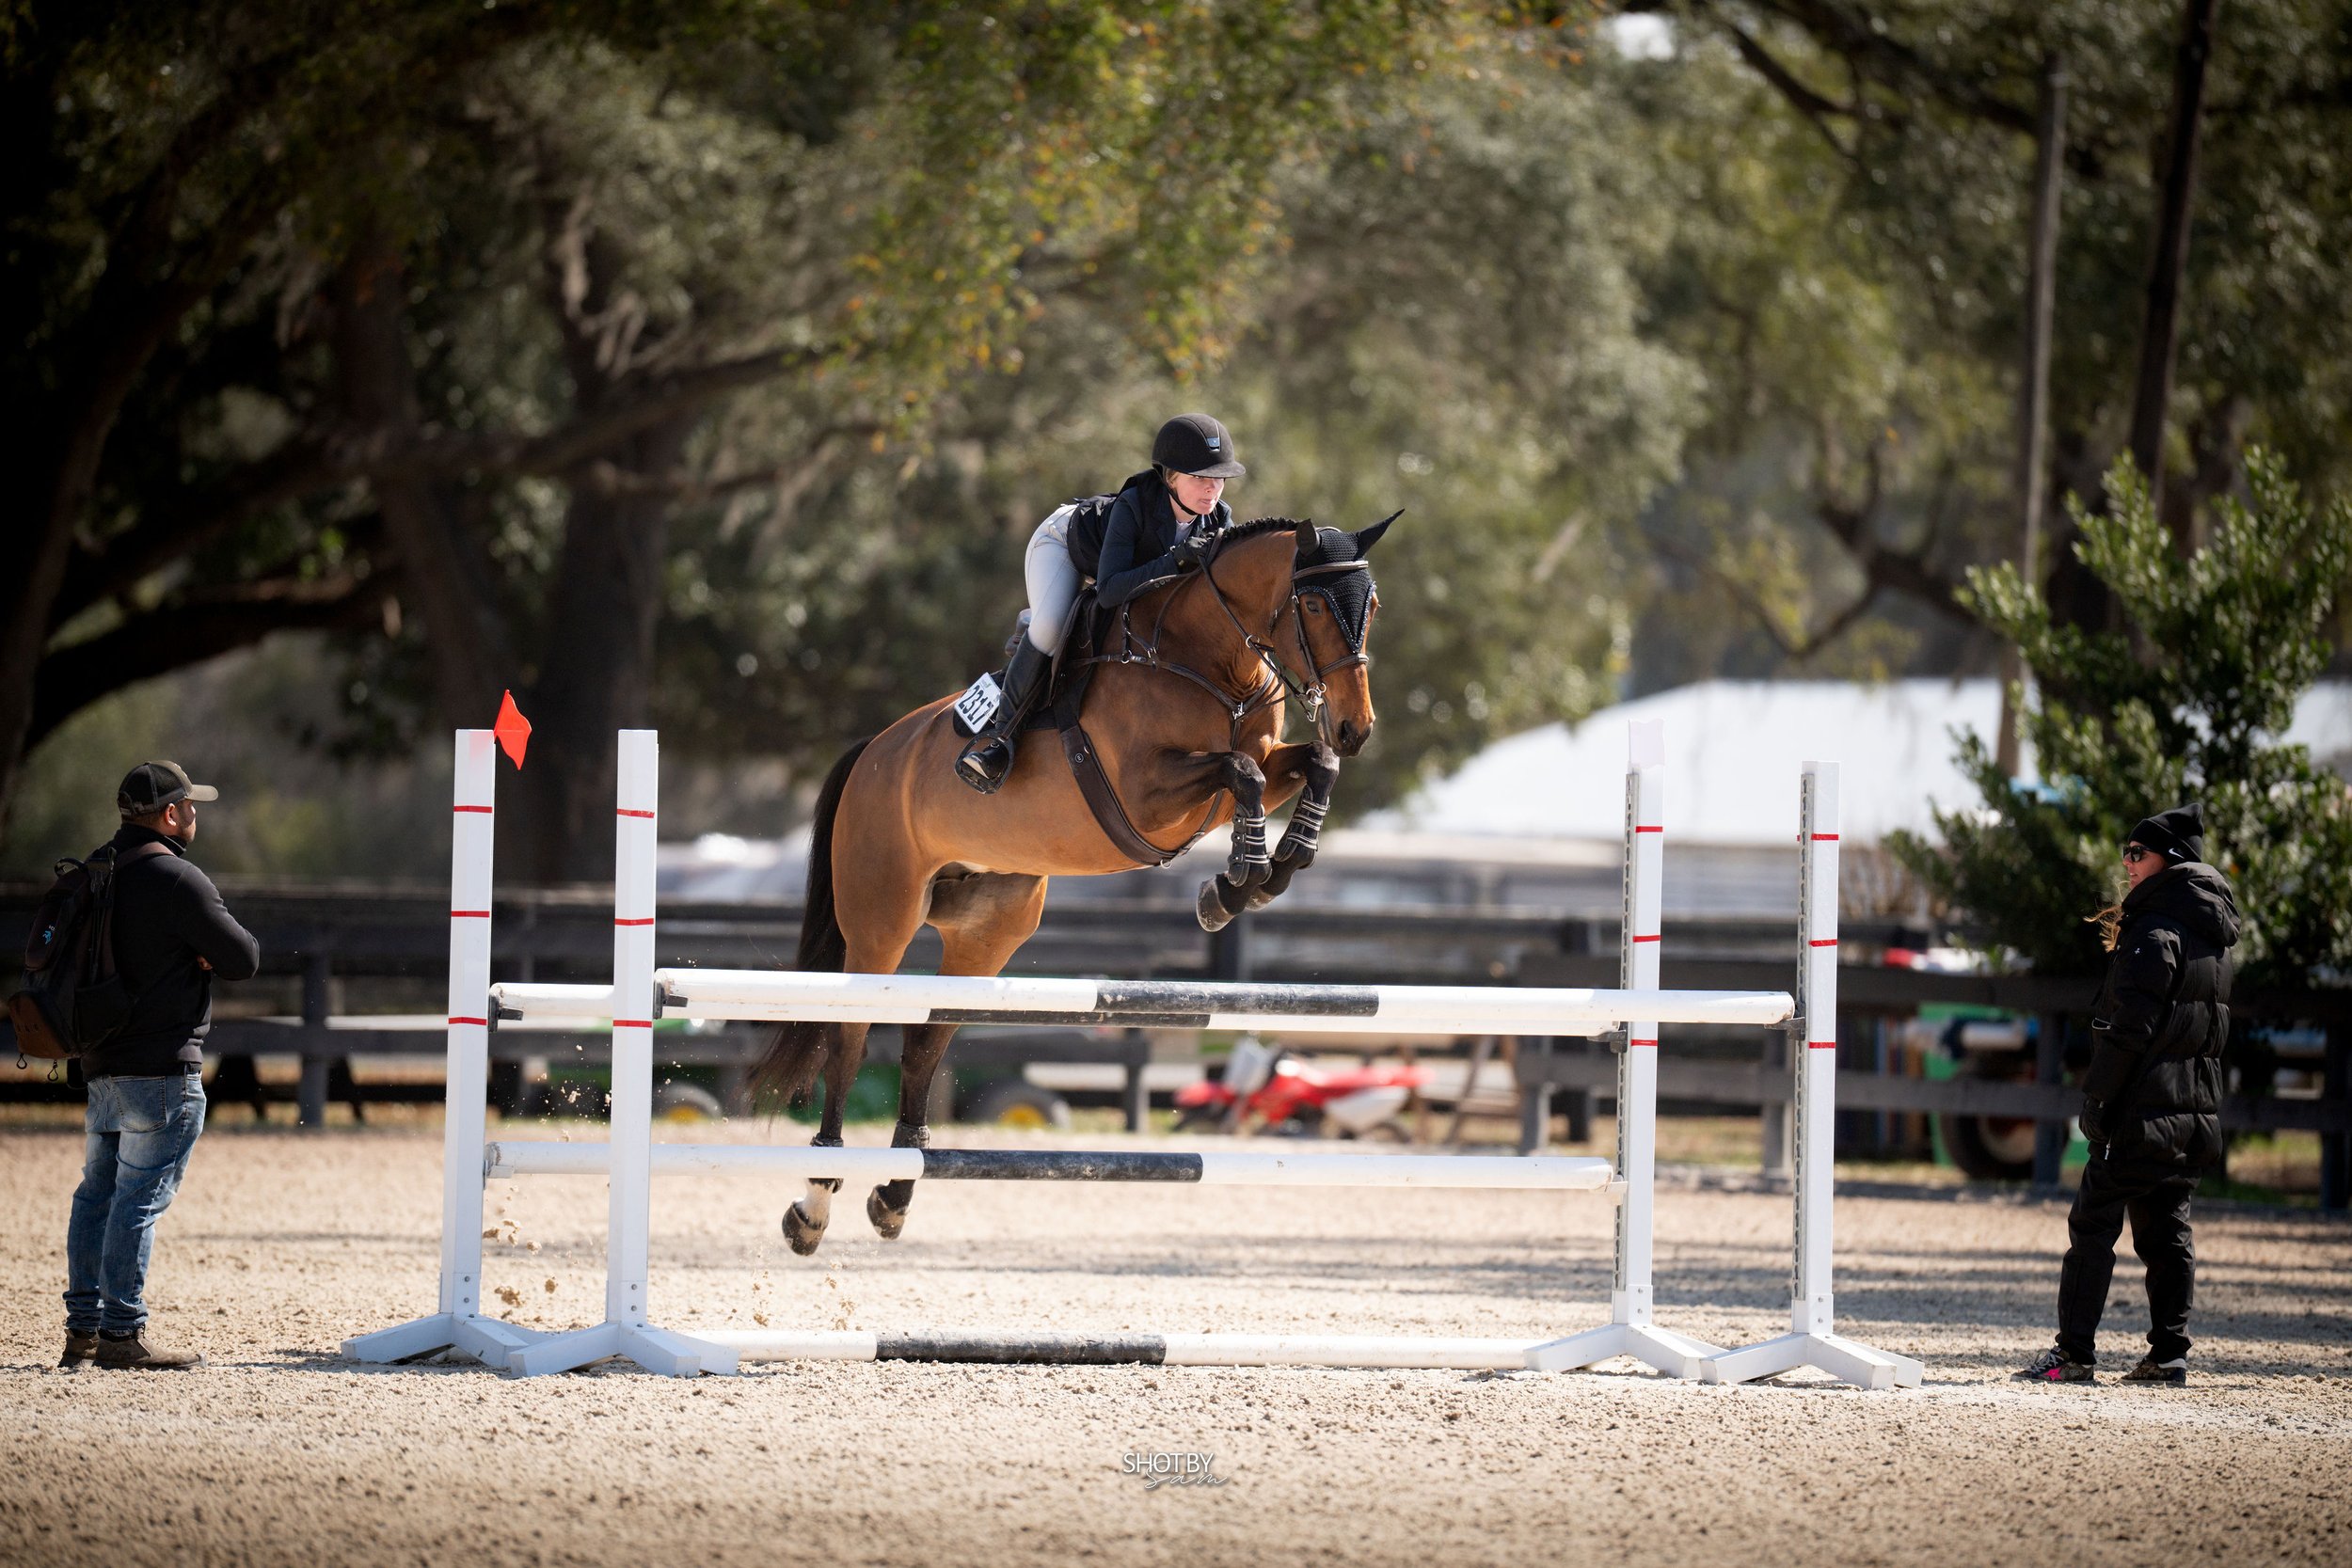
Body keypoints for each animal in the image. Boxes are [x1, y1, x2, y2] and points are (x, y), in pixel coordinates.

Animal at [755, 512, 1393, 1254]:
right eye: (1314, 605)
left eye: (1373, 606)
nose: (1356, 727)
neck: (1210, 661)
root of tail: (874, 751)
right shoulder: (1147, 793)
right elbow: (1243, 771)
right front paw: (1242, 877)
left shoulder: (1253, 764)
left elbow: (1307, 765)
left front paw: (1268, 872)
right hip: (880, 923)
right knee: (849, 1037)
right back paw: (814, 1203)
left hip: (986, 934)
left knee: (924, 1045)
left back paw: (894, 1195)